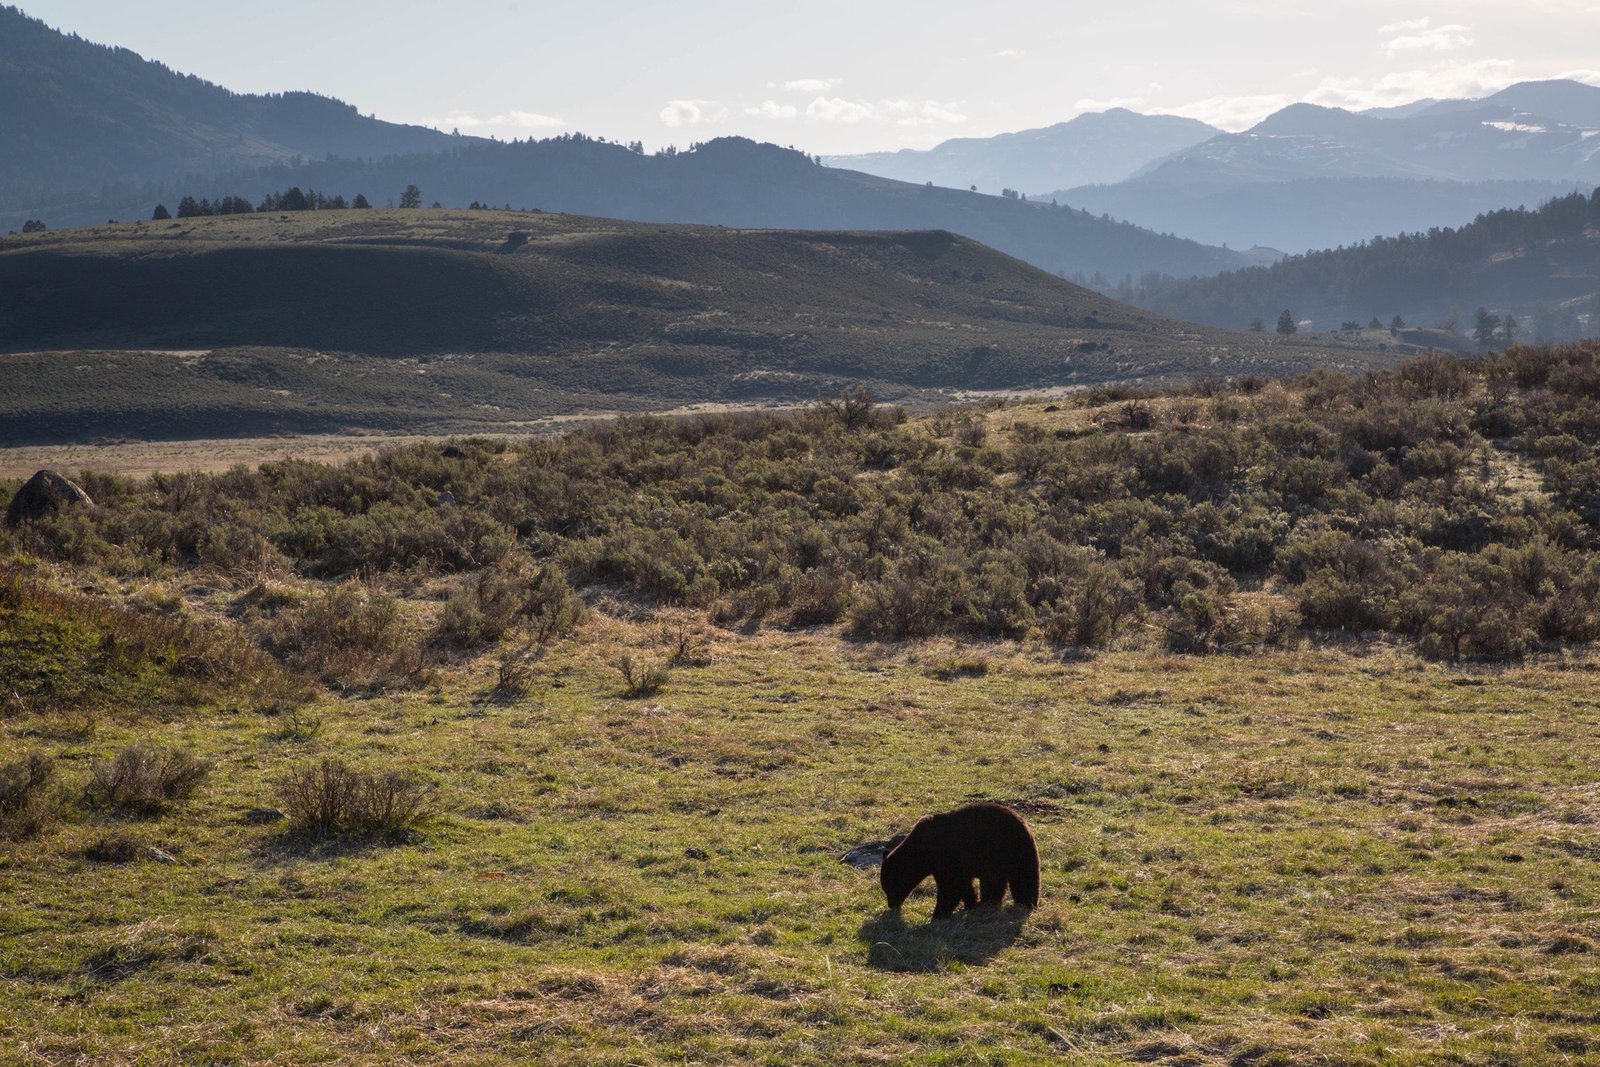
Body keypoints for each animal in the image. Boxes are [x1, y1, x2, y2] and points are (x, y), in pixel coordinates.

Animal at [880, 802, 1040, 919]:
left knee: (1021, 879)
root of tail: (1026, 827)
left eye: (889, 887)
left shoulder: (946, 857)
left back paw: (1025, 902)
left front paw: (937, 914)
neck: (923, 853)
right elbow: (963, 885)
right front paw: (970, 903)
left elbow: (951, 886)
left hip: (1007, 852)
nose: (891, 905)